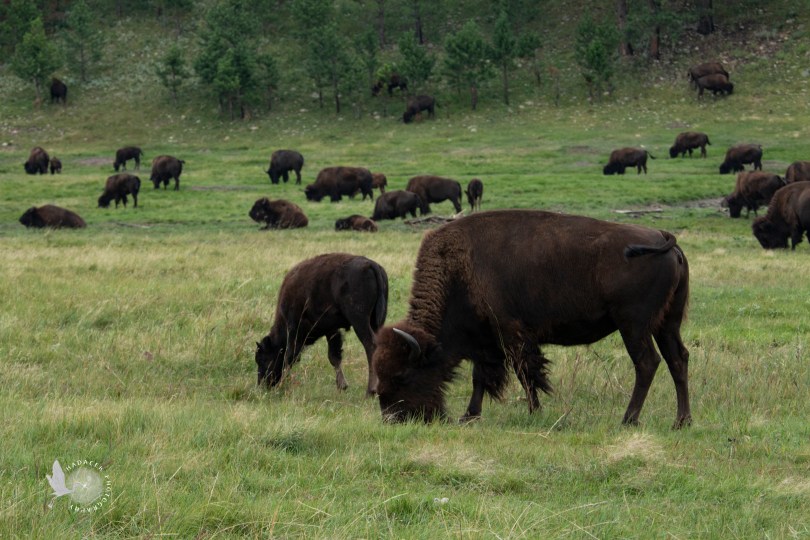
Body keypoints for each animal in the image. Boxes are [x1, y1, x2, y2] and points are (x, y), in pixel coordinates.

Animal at [255, 253, 389, 395]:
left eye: (263, 359)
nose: (262, 385)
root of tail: (371, 265)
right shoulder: (332, 330)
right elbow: (334, 356)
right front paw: (342, 386)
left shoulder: (293, 326)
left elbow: (289, 356)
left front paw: (282, 385)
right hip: (375, 322)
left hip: (360, 321)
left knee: (370, 346)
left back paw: (370, 391)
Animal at [371, 210, 691, 429]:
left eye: (402, 375)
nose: (392, 417)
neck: (458, 270)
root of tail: (663, 237)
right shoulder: (486, 340)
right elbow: (481, 377)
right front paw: (470, 415)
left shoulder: (510, 333)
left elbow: (525, 372)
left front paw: (534, 411)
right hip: (667, 323)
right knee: (678, 359)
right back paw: (681, 422)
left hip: (633, 325)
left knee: (647, 363)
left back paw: (628, 419)